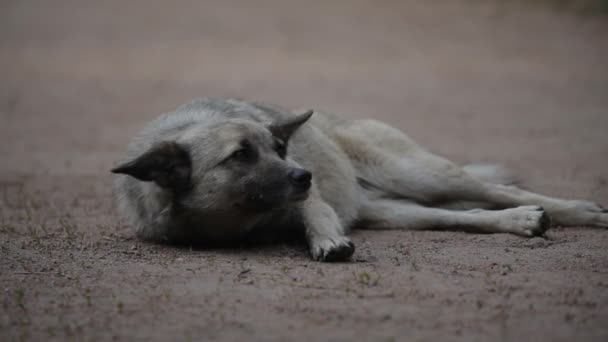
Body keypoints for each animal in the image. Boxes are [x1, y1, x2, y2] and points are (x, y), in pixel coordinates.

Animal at [110, 98, 608, 262]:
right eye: (241, 155)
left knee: (498, 190)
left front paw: (327, 242)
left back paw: (580, 211)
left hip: (420, 175)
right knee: (462, 216)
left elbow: (316, 217)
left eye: (279, 148)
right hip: (398, 212)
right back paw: (520, 221)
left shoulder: (311, 201)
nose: (305, 173)